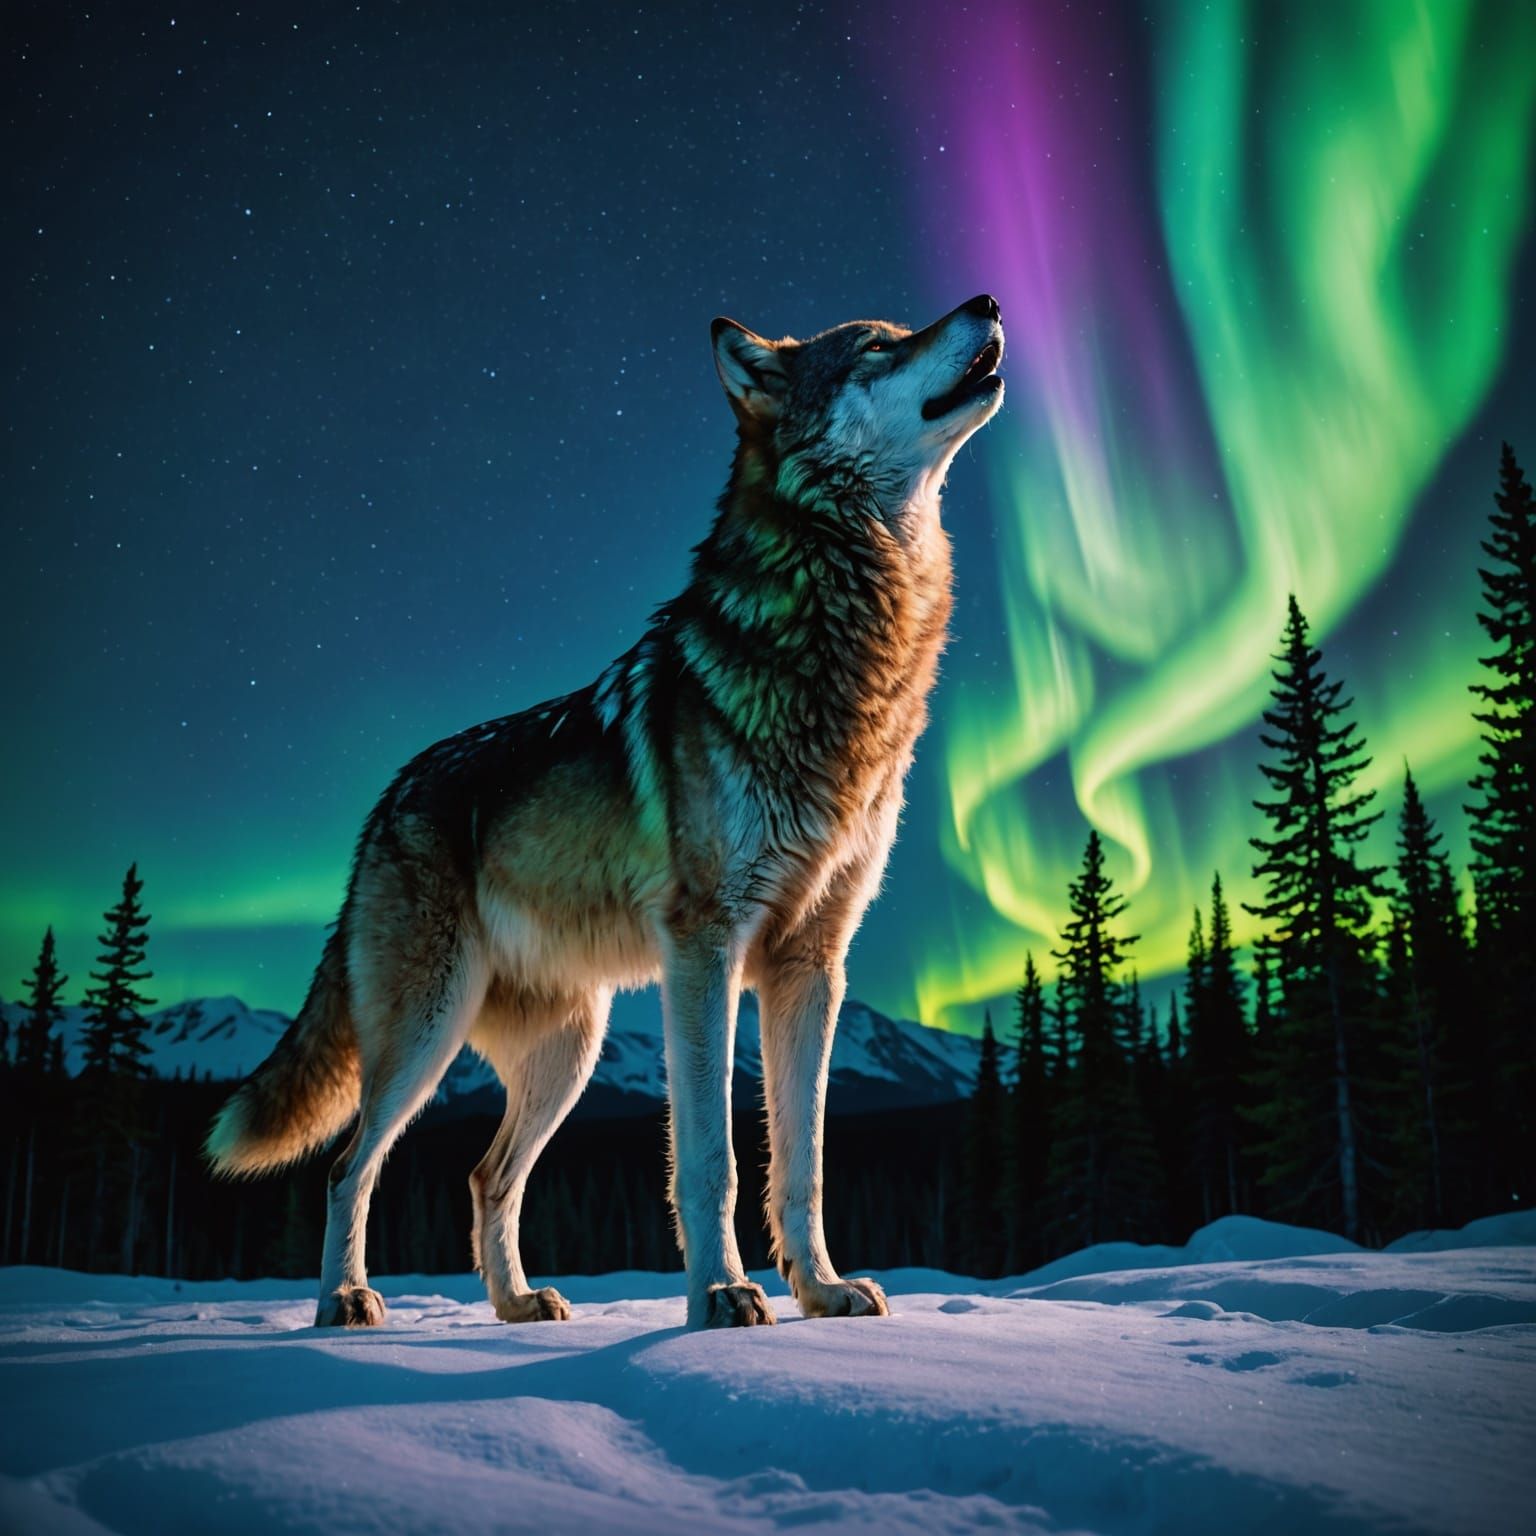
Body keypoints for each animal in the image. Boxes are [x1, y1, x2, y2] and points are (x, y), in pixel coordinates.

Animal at [206, 295, 1004, 1329]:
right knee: (350, 1165)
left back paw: (515, 1305)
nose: (986, 304)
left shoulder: (811, 965)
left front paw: (823, 1291)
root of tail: (382, 807)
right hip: (425, 1035)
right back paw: (344, 1301)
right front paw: (722, 1294)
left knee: (485, 1176)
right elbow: (711, 1159)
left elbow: (804, 1163)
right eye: (876, 345)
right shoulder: (706, 949)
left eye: (899, 330)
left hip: (571, 1053)